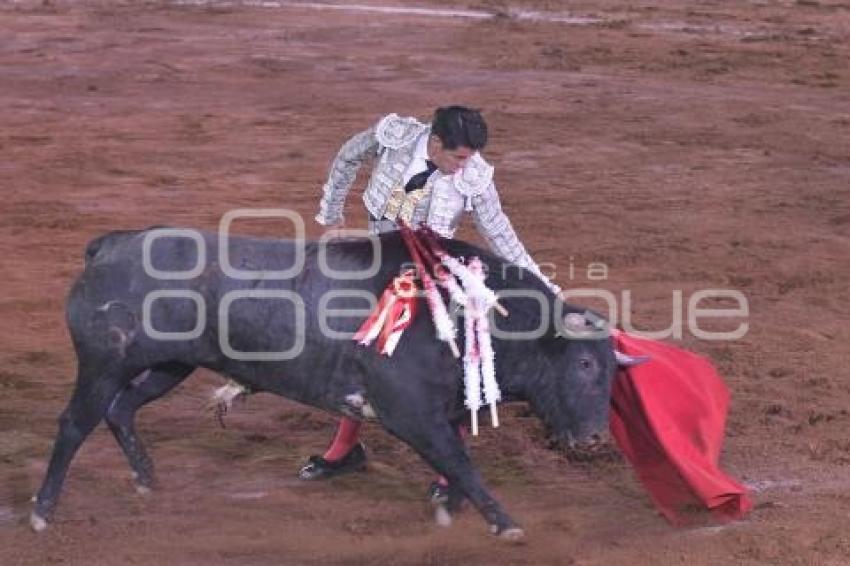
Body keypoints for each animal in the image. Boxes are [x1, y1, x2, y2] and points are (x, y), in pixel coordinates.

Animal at [31, 227, 616, 540]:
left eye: (614, 373)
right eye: (586, 365)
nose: (594, 438)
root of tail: (111, 246)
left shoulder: (438, 413)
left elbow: (455, 466)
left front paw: (449, 508)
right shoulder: (412, 414)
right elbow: (463, 465)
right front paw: (503, 522)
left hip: (171, 365)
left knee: (121, 410)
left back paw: (148, 479)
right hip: (102, 365)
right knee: (74, 423)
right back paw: (42, 510)